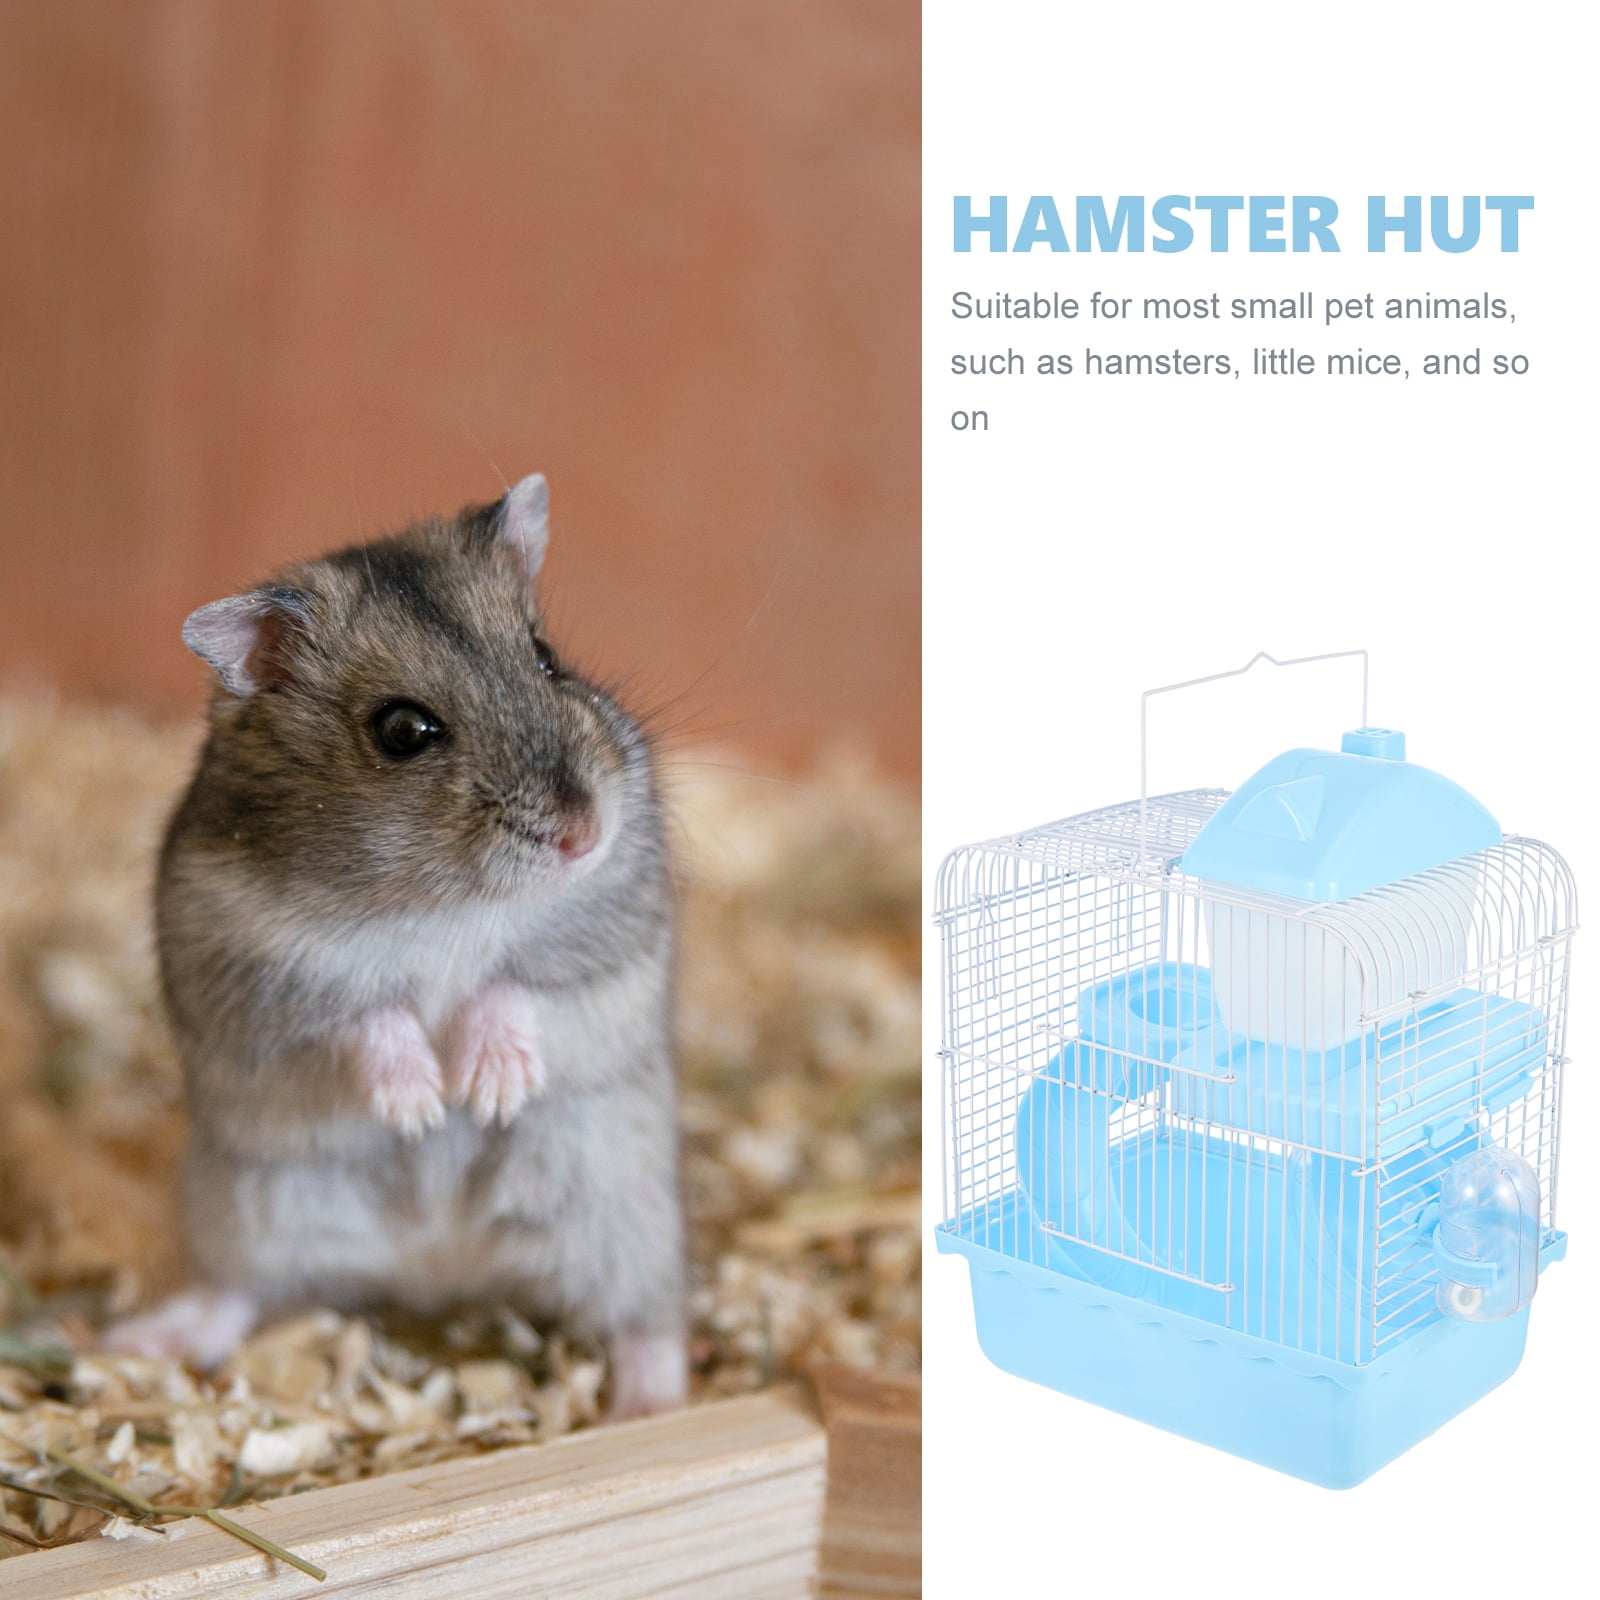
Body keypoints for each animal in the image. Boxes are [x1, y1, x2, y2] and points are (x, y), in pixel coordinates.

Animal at [105, 475, 686, 1418]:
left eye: (546, 656)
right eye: (403, 730)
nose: (584, 834)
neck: (442, 900)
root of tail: (438, 1272)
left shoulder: (611, 935)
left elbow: (516, 986)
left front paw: (487, 1092)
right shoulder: (256, 973)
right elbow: (364, 1014)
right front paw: (420, 1107)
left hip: (624, 1213)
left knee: (649, 1320)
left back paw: (649, 1408)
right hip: (246, 1208)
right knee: (235, 1292)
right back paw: (139, 1341)